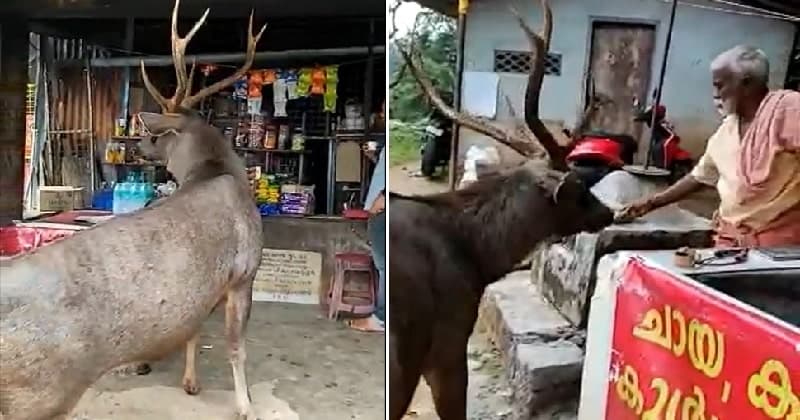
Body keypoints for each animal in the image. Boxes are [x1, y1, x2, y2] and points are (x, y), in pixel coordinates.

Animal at [0, 1, 267, 419]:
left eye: (156, 135)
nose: (138, 146)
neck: (215, 169)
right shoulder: (245, 271)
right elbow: (236, 348)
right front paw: (245, 407)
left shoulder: (215, 287)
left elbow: (194, 334)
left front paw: (191, 383)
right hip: (38, 391)